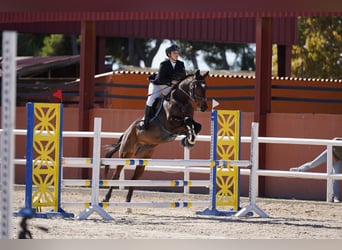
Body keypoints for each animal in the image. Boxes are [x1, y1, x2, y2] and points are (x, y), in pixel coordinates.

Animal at [101, 70, 208, 203]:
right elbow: (187, 120)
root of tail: (126, 132)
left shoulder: (180, 128)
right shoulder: (171, 123)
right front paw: (188, 139)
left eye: (205, 87)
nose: (204, 107)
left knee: (134, 178)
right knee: (116, 174)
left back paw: (128, 202)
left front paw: (189, 140)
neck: (181, 101)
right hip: (125, 154)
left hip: (144, 158)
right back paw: (106, 198)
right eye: (196, 87)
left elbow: (196, 125)